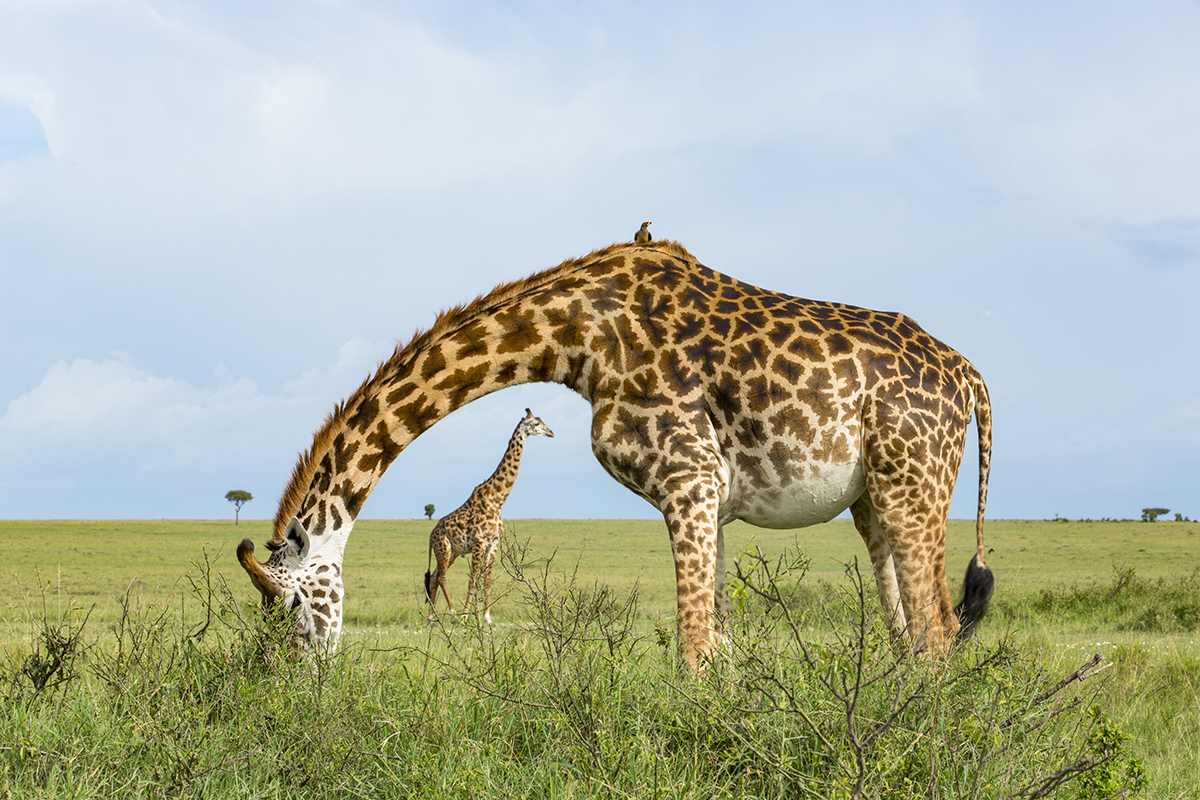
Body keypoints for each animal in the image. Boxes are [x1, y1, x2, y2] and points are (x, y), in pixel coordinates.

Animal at [424, 408, 554, 624]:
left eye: (542, 421)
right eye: (536, 424)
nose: (551, 433)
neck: (497, 500)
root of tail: (430, 536)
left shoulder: (494, 542)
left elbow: (487, 578)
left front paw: (486, 617)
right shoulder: (479, 542)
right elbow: (473, 578)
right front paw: (466, 615)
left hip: (452, 551)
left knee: (434, 576)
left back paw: (431, 617)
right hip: (443, 548)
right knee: (441, 576)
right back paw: (452, 613)